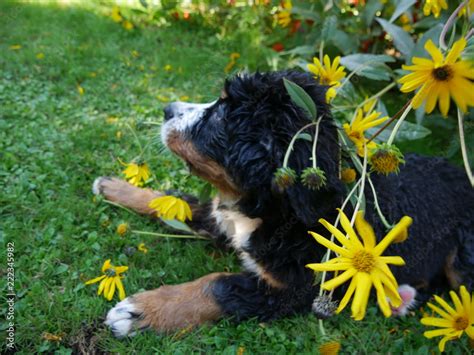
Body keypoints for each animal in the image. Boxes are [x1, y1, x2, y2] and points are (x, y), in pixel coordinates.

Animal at [92, 70, 474, 340]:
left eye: (220, 116)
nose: (167, 109)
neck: (272, 211)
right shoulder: (221, 218)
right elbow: (175, 203)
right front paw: (115, 187)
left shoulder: (294, 288)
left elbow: (218, 285)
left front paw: (141, 312)